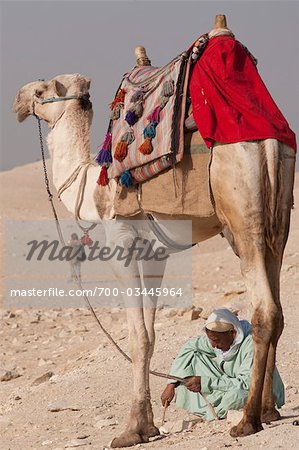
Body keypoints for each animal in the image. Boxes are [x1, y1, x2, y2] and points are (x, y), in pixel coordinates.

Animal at [12, 25, 296, 450]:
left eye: (44, 89)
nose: (18, 99)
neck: (93, 189)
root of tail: (269, 141)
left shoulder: (122, 239)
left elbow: (137, 337)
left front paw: (130, 430)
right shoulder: (154, 253)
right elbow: (150, 332)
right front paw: (148, 425)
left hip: (243, 215)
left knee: (265, 310)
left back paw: (247, 421)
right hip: (279, 219)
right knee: (277, 305)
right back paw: (268, 410)